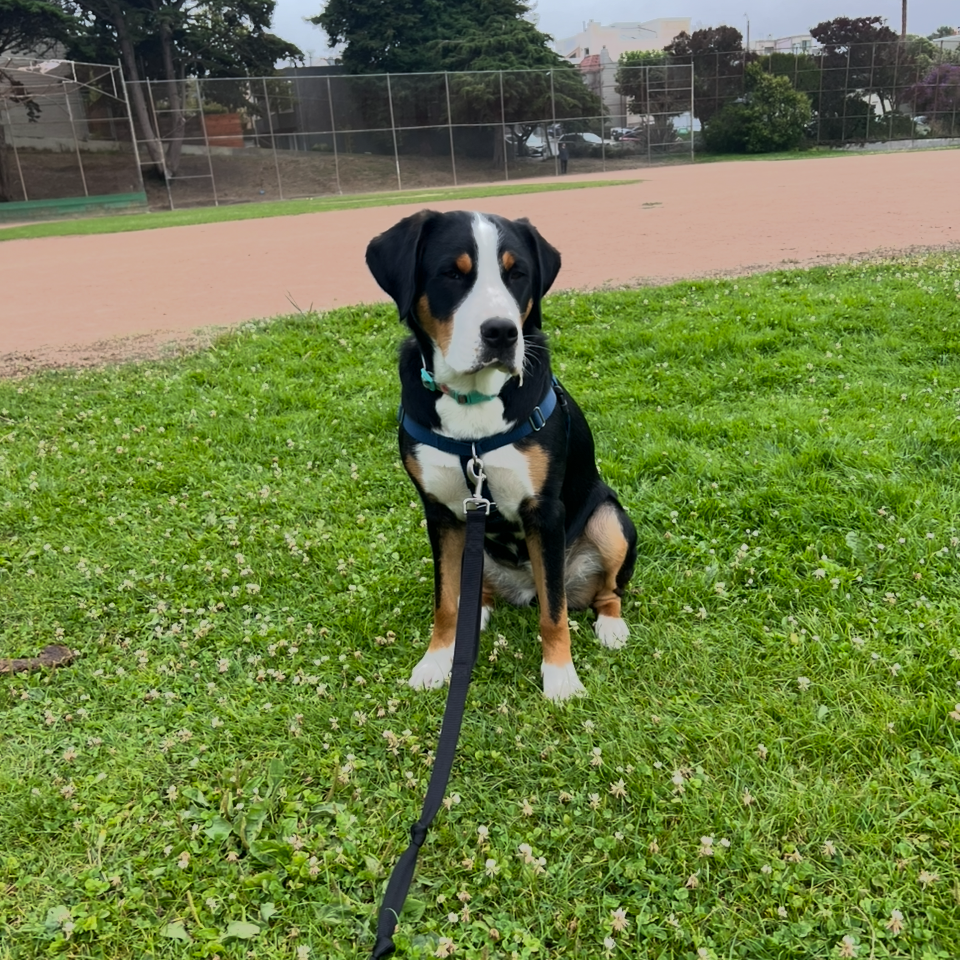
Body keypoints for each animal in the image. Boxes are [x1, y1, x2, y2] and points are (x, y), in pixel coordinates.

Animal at [366, 210, 636, 701]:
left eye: (517, 274)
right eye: (453, 274)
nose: (501, 332)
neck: (473, 406)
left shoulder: (544, 511)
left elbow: (554, 611)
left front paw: (561, 677)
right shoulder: (442, 514)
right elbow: (446, 601)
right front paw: (437, 661)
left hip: (609, 521)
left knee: (599, 591)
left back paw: (611, 626)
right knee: (477, 590)